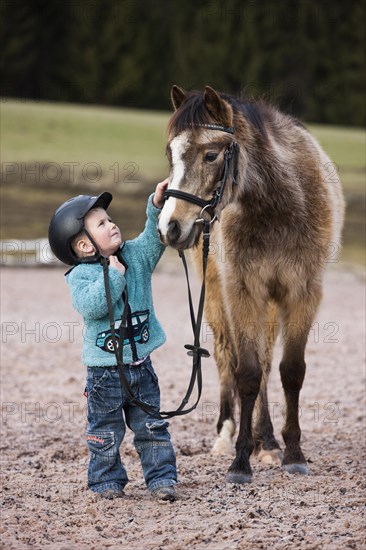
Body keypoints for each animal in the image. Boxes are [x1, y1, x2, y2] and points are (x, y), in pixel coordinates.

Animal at [157, 85, 344, 484]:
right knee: (227, 357)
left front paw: (292, 452)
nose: (170, 227)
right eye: (171, 154)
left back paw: (268, 440)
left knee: (267, 362)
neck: (279, 207)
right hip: (215, 296)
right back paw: (227, 434)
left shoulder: (302, 294)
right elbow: (246, 372)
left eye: (211, 155)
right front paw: (240, 459)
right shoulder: (241, 293)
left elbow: (290, 371)